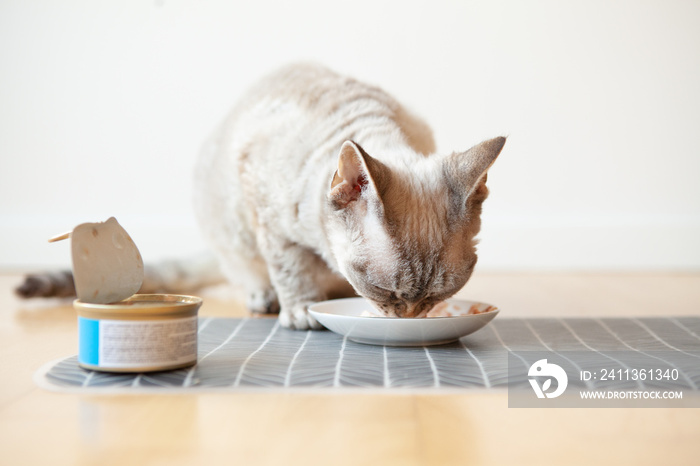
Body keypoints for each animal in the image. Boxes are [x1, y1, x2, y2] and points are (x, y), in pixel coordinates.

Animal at [16, 62, 506, 332]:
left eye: (439, 294)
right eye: (384, 291)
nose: (406, 319)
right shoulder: (269, 222)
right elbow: (291, 272)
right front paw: (302, 311)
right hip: (233, 237)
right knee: (248, 276)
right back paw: (266, 300)